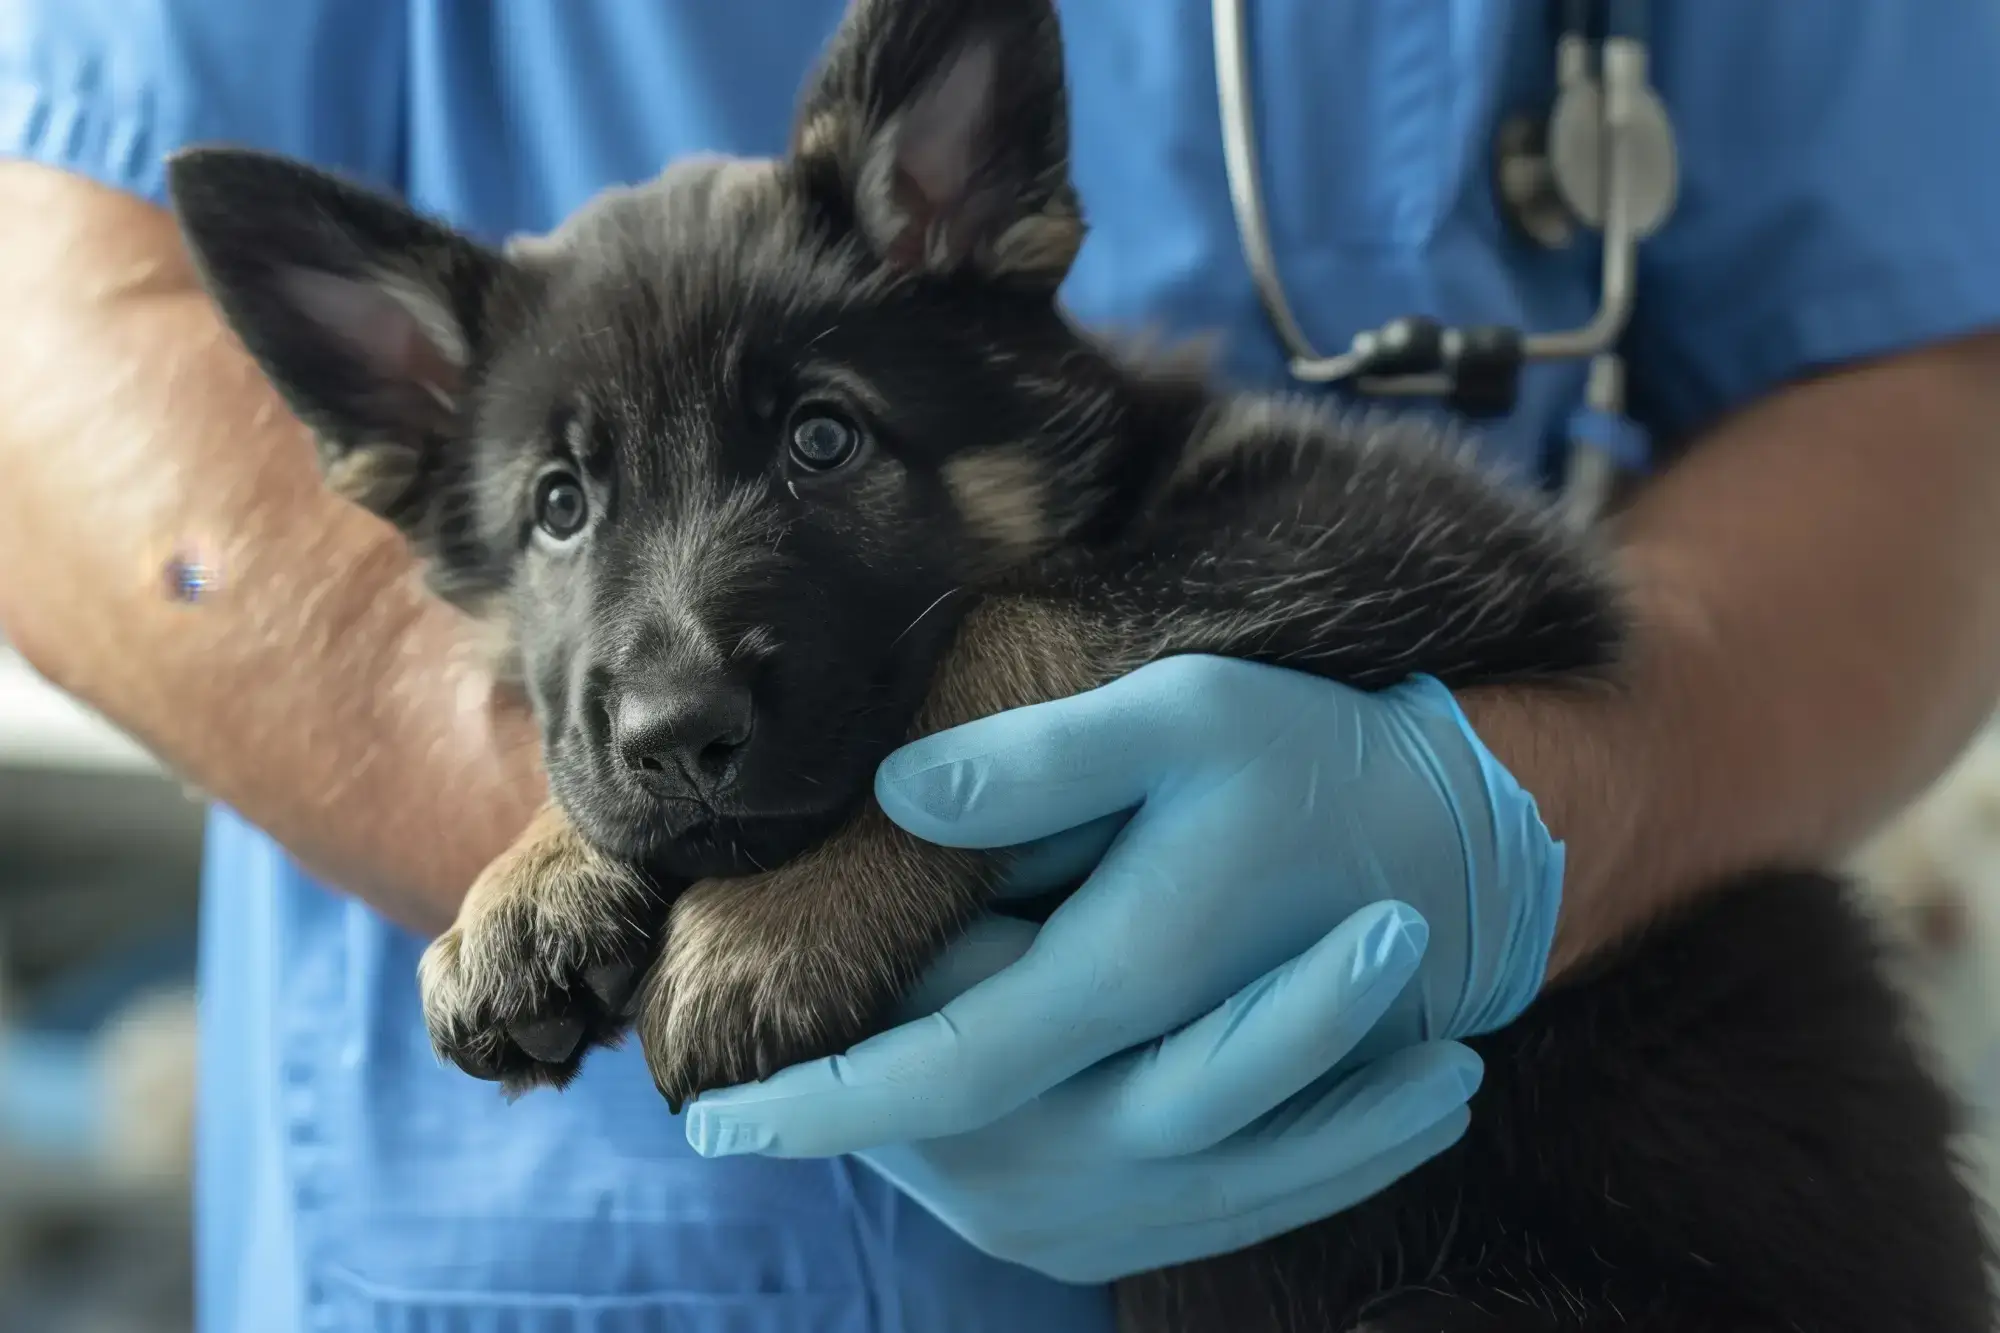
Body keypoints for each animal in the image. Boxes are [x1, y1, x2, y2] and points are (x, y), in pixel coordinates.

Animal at [164, 0, 1992, 1320]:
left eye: (824, 439)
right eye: (558, 508)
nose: (683, 733)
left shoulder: (1412, 520)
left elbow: (1004, 623)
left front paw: (786, 909)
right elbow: (579, 743)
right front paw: (535, 879)